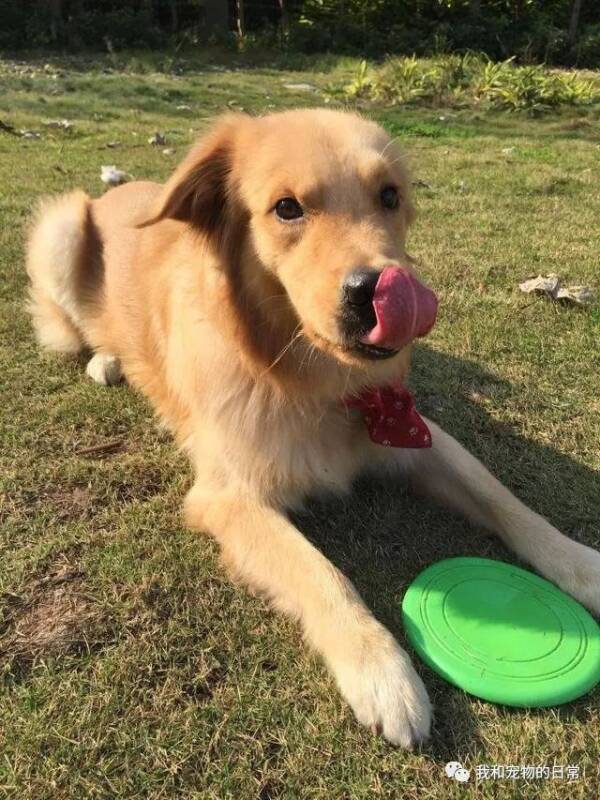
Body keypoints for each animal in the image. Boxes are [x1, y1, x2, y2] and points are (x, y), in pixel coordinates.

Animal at [25, 109, 600, 748]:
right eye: (287, 208)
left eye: (390, 195)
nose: (375, 291)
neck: (307, 382)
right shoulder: (228, 497)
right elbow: (320, 572)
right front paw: (383, 671)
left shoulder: (412, 431)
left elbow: (504, 499)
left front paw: (583, 564)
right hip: (60, 232)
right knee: (71, 330)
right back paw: (106, 360)